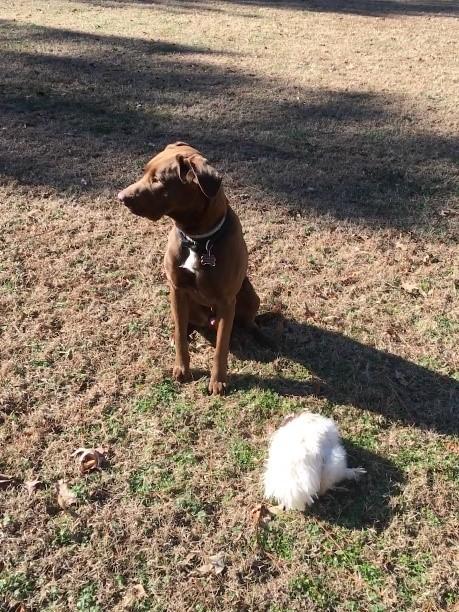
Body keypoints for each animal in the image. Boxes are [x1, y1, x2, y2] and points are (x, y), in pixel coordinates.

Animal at [118, 142, 260, 394]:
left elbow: (221, 347)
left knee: (242, 321)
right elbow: (181, 335)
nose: (121, 197)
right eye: (144, 171)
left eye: (158, 180)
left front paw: (218, 380)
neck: (198, 240)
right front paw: (182, 368)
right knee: (185, 324)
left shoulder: (226, 301)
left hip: (251, 296)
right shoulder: (177, 289)